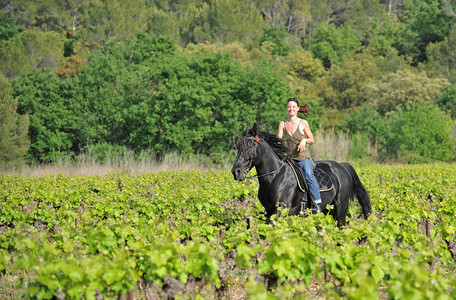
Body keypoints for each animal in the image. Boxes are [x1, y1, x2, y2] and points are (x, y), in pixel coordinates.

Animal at [232, 123, 370, 226]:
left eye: (250, 146)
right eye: (238, 147)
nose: (236, 172)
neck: (274, 176)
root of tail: (341, 166)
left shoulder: (281, 210)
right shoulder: (269, 210)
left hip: (341, 206)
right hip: (328, 210)